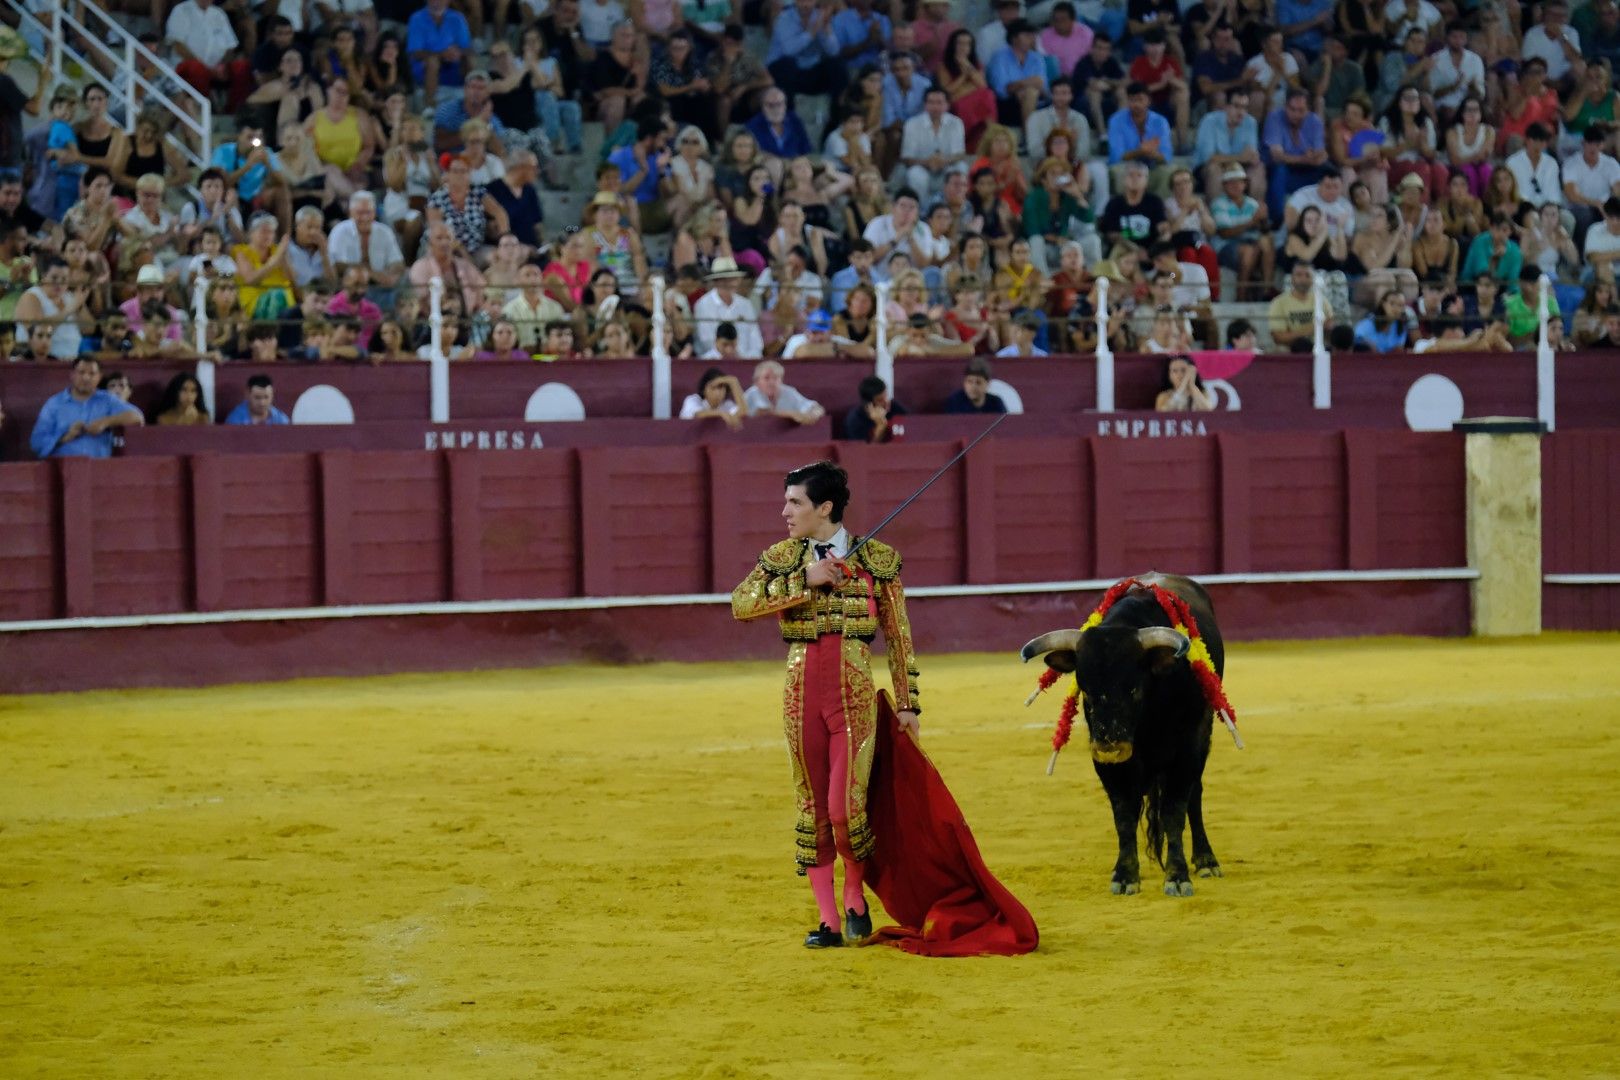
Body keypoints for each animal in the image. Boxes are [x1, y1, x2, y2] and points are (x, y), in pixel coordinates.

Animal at [1023, 579, 1224, 900]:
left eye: (1133, 688)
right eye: (1085, 689)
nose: (1111, 746)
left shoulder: (1187, 751)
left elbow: (1174, 811)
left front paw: (1177, 876)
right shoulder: (1109, 766)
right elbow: (1124, 815)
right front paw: (1126, 875)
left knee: (1195, 795)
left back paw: (1206, 860)